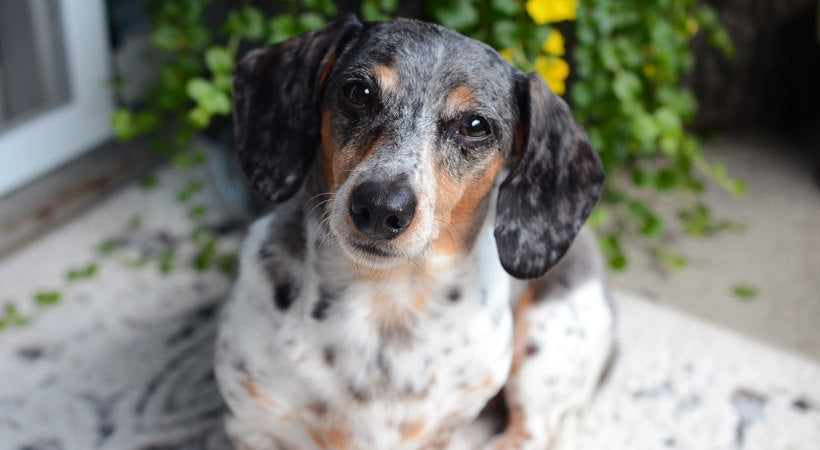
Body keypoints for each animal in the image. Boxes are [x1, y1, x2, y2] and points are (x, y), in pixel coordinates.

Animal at [218, 15, 616, 448]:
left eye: (475, 125)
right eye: (358, 92)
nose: (380, 207)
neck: (383, 298)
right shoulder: (251, 426)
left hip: (545, 344)